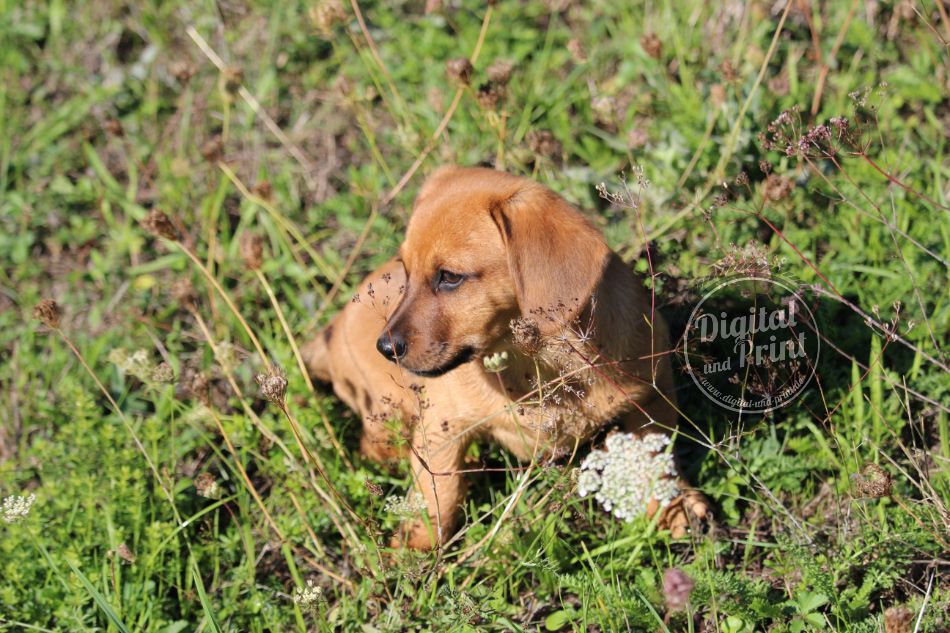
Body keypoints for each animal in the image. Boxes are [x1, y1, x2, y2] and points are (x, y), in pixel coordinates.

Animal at [304, 165, 708, 544]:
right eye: (406, 270)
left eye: (450, 277)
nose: (385, 348)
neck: (537, 365)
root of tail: (333, 329)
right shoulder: (441, 424)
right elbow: (439, 493)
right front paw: (415, 548)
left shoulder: (653, 396)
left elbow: (655, 458)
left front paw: (674, 507)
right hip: (386, 418)